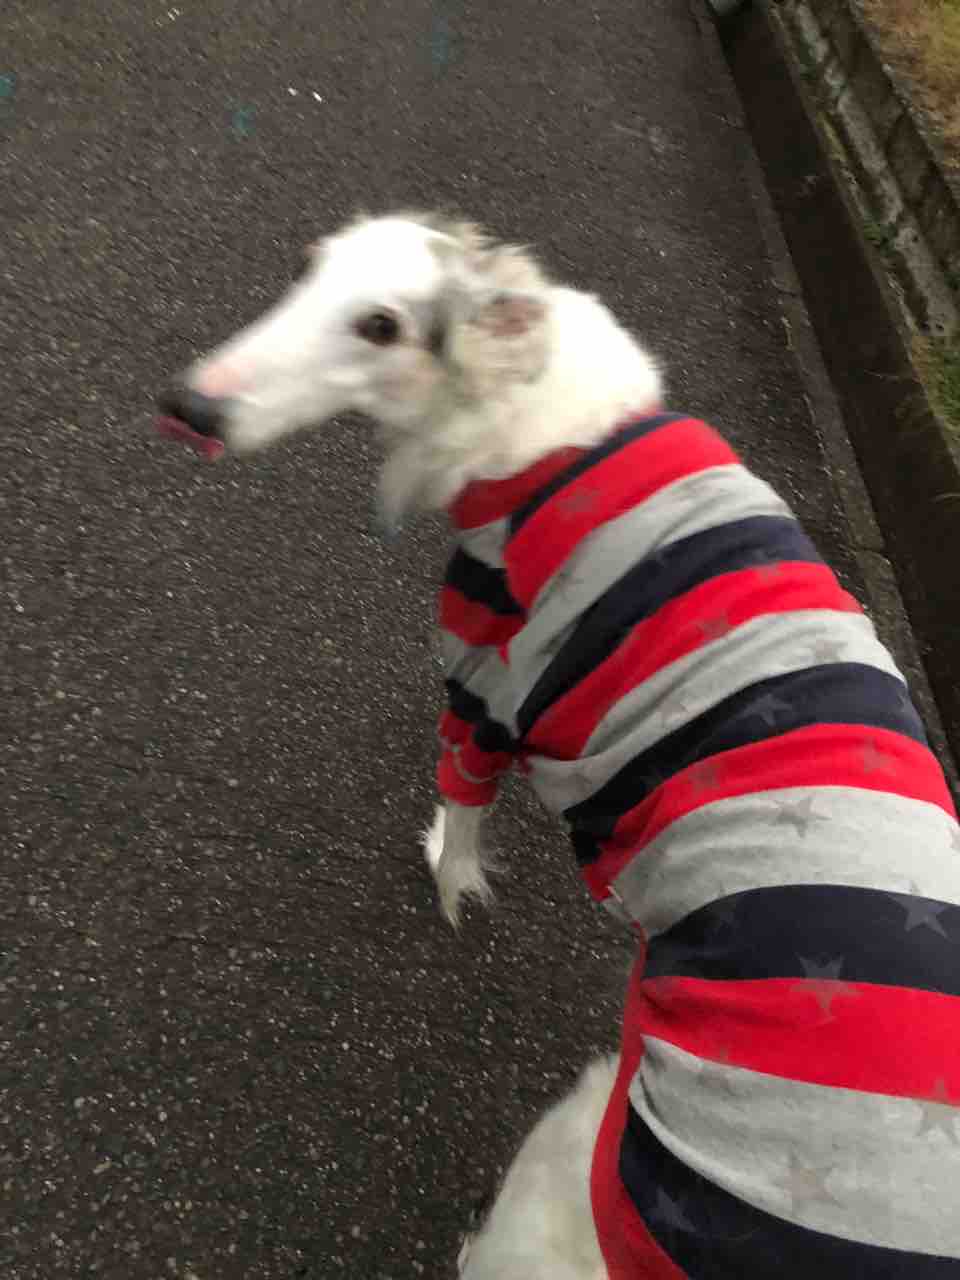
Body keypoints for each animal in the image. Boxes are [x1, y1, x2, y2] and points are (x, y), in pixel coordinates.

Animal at [156, 212, 960, 1278]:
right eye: (306, 269)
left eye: (381, 326)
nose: (188, 407)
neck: (549, 419)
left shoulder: (480, 688)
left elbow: (461, 811)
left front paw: (447, 872)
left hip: (574, 1164)